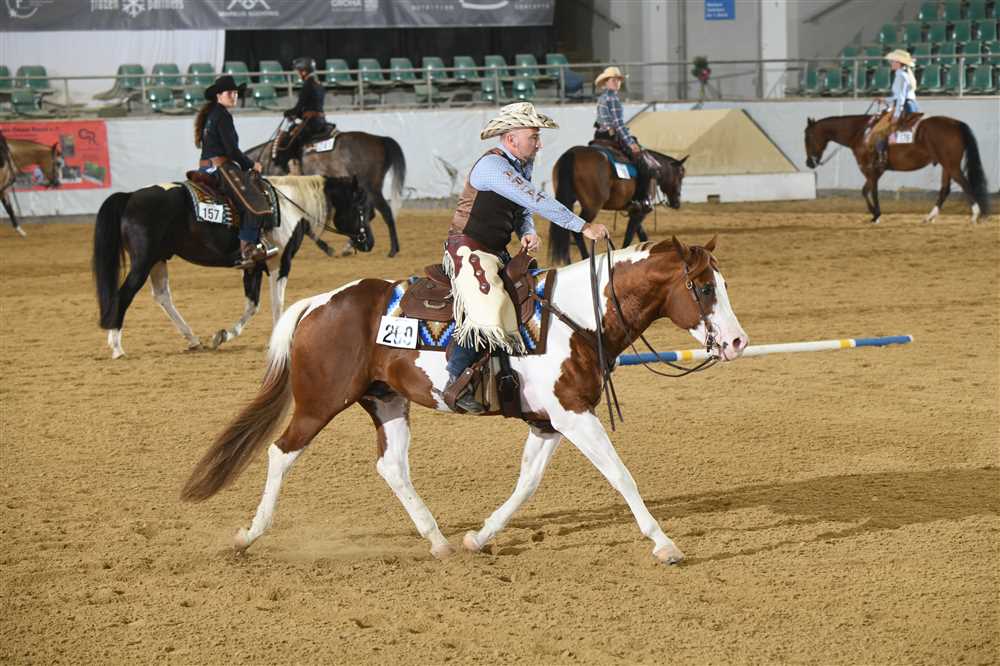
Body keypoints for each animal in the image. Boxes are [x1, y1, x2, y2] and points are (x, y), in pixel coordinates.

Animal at [93, 175, 371, 359]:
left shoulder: (253, 265)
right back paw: (117, 346)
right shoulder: (280, 262)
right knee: (124, 294)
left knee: (162, 296)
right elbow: (276, 302)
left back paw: (193, 339)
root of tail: (131, 196)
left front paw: (223, 335)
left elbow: (252, 304)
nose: (368, 241)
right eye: (360, 206)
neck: (290, 206)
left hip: (158, 259)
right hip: (143, 261)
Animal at [180, 236, 748, 565]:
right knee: (281, 453)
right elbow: (621, 475)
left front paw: (480, 536)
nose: (737, 342)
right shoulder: (573, 415)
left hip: (388, 402)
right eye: (703, 288)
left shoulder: (549, 422)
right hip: (319, 403)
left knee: (391, 467)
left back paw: (438, 541)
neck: (575, 317)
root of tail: (320, 303)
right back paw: (249, 535)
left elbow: (527, 483)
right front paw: (665, 544)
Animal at [548, 146, 687, 265]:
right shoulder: (641, 212)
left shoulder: (634, 211)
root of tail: (572, 153)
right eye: (680, 175)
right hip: (591, 207)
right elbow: (629, 236)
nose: (677, 202)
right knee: (577, 231)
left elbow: (641, 235)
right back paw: (585, 259)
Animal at [804, 115, 990, 225]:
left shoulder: (869, 169)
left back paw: (975, 214)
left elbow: (869, 191)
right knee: (945, 189)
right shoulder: (877, 170)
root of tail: (956, 123)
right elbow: (869, 190)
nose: (809, 163)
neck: (860, 132)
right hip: (946, 166)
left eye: (807, 137)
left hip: (951, 165)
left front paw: (876, 214)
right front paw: (875, 214)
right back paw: (929, 217)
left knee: (965, 184)